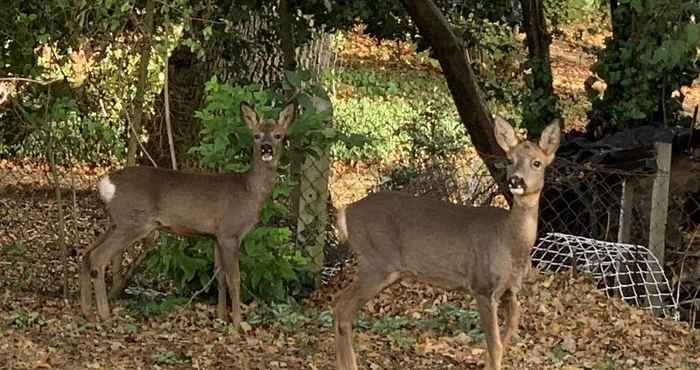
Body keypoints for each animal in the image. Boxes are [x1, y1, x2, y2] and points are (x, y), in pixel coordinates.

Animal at [80, 101, 296, 326]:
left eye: (279, 135)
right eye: (256, 135)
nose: (266, 148)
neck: (249, 191)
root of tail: (106, 184)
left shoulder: (216, 236)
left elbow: (219, 276)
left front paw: (220, 318)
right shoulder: (230, 232)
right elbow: (234, 278)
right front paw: (237, 323)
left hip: (115, 221)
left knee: (86, 254)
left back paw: (87, 311)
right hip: (133, 222)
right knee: (98, 257)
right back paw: (104, 315)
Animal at [334, 118, 564, 370]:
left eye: (537, 163)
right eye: (510, 160)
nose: (515, 180)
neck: (509, 242)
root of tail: (347, 211)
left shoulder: (510, 290)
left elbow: (507, 334)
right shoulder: (482, 286)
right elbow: (494, 345)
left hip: (377, 268)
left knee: (338, 306)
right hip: (375, 263)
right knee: (343, 310)